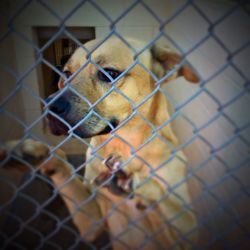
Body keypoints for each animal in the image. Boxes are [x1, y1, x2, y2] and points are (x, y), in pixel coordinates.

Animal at [2, 37, 199, 250]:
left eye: (109, 73)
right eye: (67, 73)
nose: (49, 106)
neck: (122, 146)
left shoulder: (188, 232)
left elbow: (164, 198)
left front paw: (133, 182)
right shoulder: (92, 223)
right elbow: (62, 162)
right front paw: (29, 151)